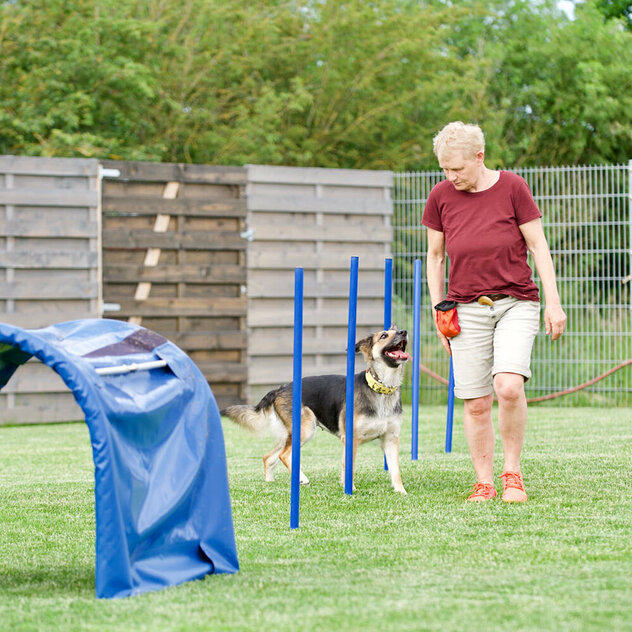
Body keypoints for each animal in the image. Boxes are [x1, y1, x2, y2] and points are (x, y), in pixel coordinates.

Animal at [221, 326, 410, 494]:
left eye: (397, 330)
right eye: (384, 335)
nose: (404, 332)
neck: (381, 389)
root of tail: (280, 388)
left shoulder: (391, 439)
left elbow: (396, 470)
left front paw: (401, 491)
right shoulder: (350, 439)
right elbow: (348, 466)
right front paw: (349, 488)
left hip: (291, 433)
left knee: (269, 457)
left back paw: (270, 482)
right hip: (306, 428)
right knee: (284, 455)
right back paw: (301, 478)